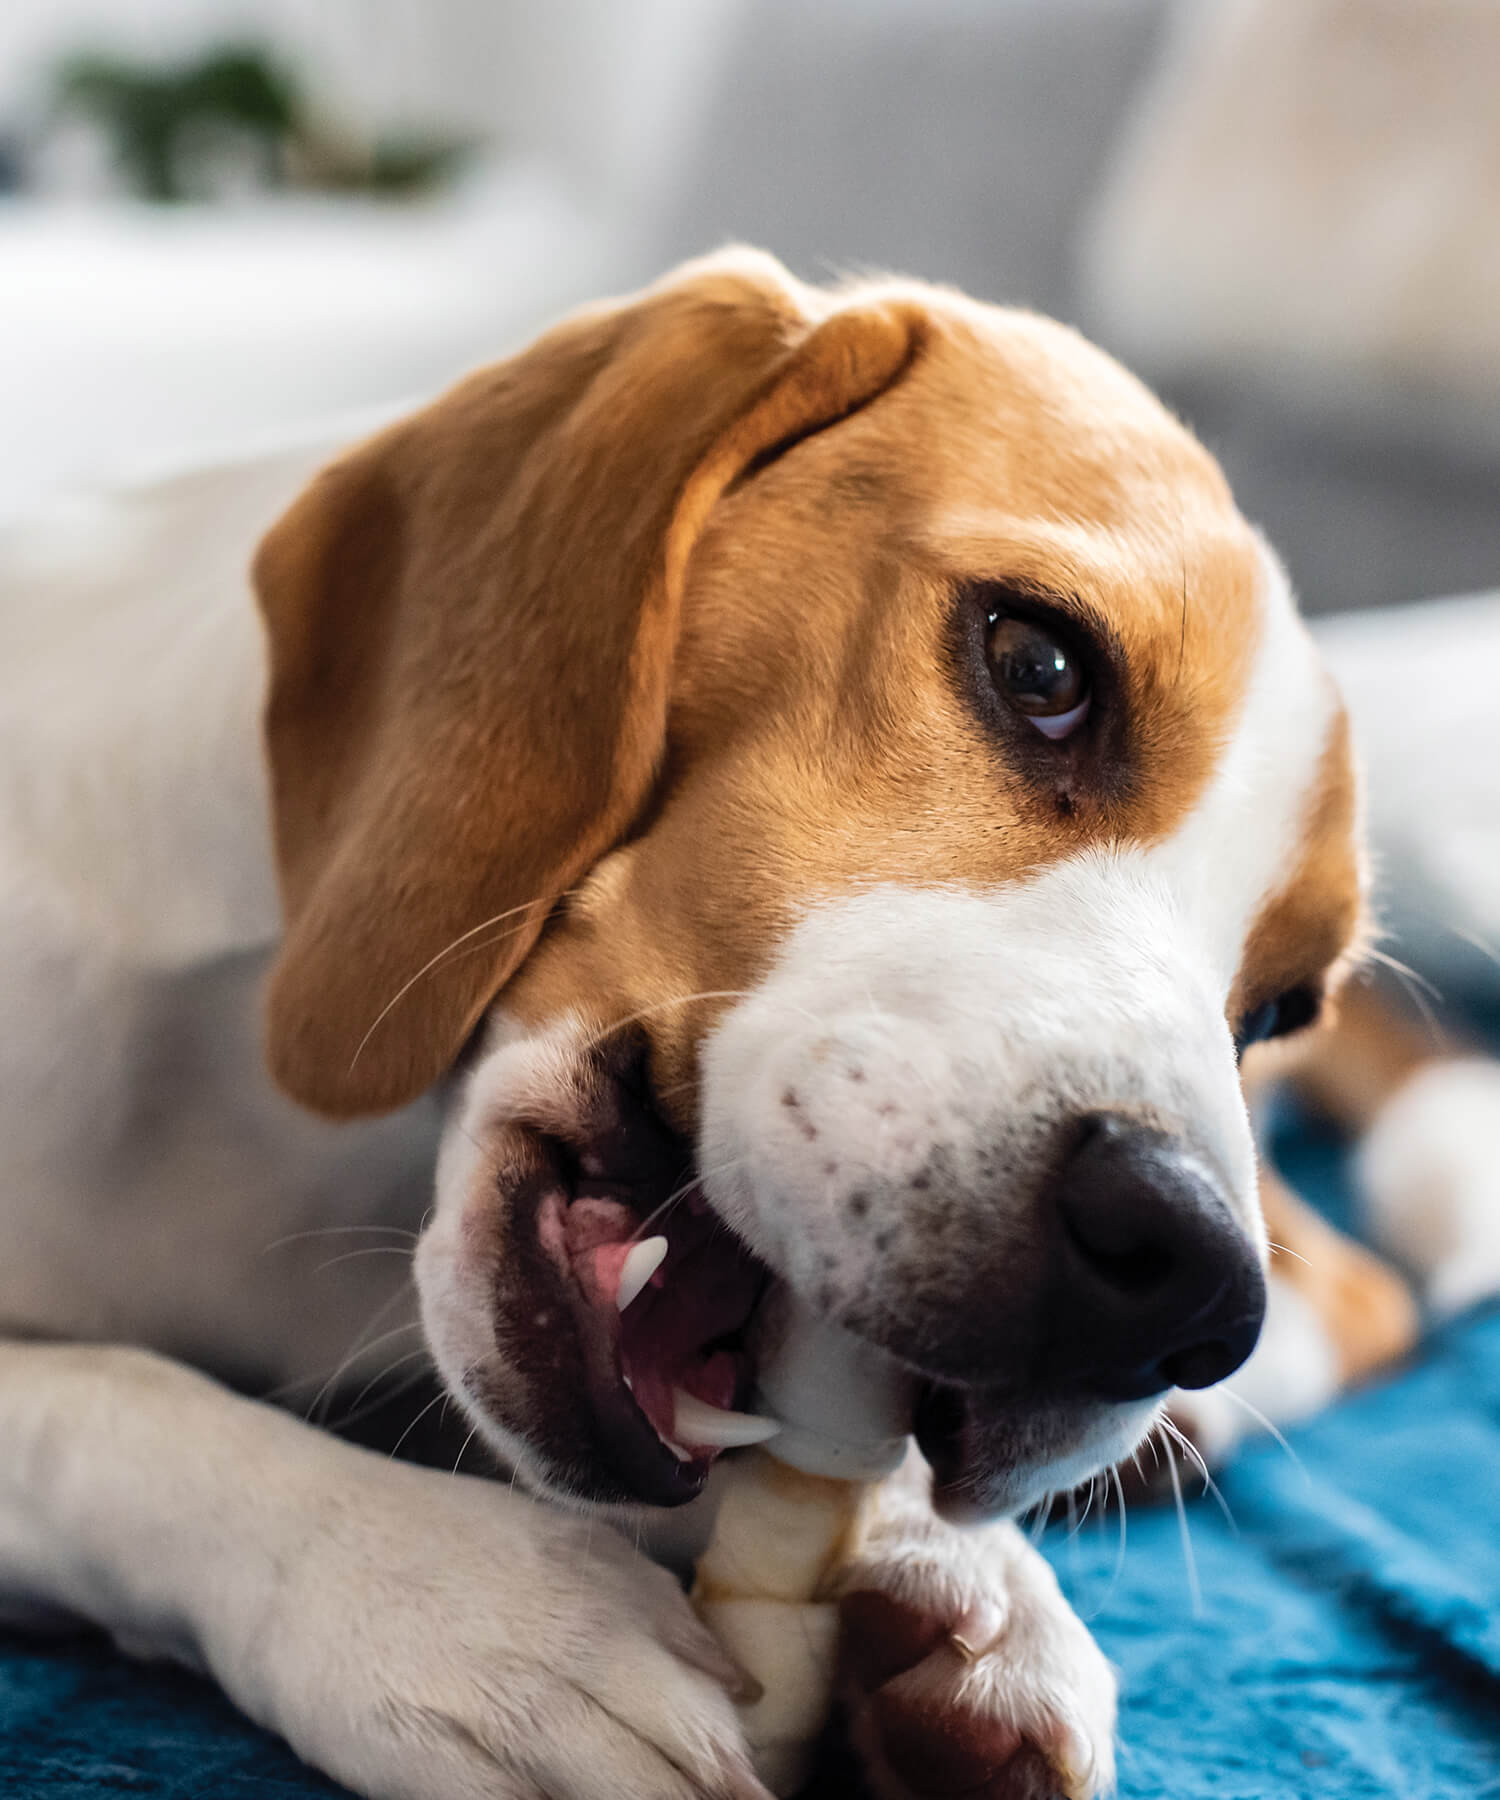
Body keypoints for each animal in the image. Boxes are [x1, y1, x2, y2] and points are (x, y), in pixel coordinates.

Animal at [0, 253, 1390, 1800]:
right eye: (1040, 667)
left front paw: (960, 1569)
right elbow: (108, 1402)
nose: (1187, 1286)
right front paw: (455, 1606)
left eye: (1278, 1006)